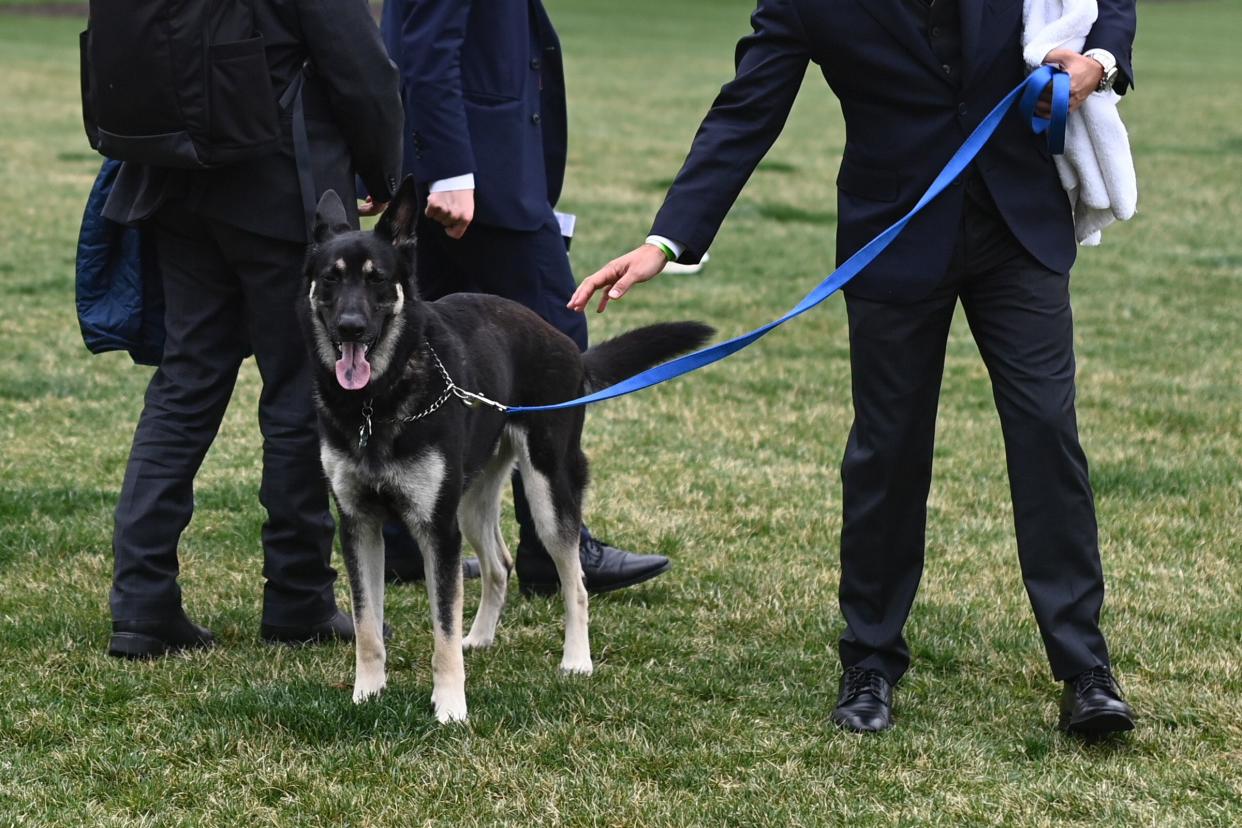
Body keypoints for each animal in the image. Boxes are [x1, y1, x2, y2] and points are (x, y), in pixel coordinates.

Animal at [296, 182, 715, 724]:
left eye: (377, 280)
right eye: (330, 278)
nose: (350, 327)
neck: (377, 402)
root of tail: (567, 346)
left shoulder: (437, 530)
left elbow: (442, 628)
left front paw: (450, 707)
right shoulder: (360, 524)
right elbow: (369, 626)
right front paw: (366, 694)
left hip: (546, 491)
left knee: (575, 581)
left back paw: (576, 661)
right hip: (472, 501)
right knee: (499, 565)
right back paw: (481, 638)